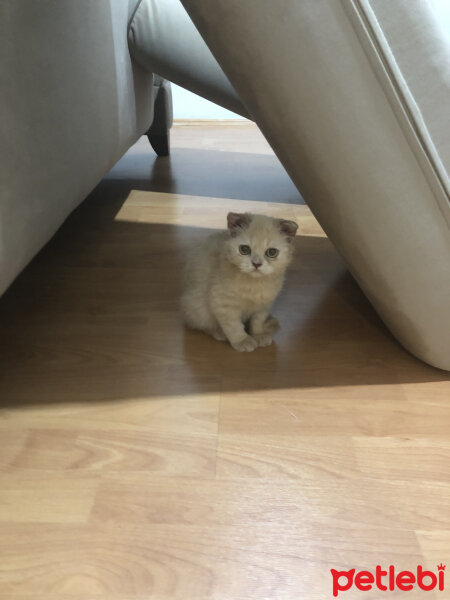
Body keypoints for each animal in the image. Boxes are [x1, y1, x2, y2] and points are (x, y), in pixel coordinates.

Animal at [181, 211, 298, 352]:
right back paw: (219, 332)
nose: (256, 264)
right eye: (245, 249)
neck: (254, 285)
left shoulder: (264, 305)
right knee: (202, 325)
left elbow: (257, 321)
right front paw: (243, 341)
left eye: (271, 252)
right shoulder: (223, 303)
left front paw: (258, 335)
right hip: (197, 307)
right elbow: (234, 326)